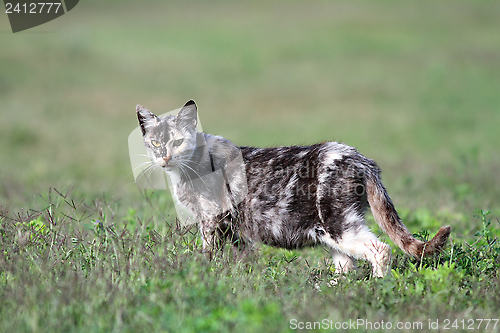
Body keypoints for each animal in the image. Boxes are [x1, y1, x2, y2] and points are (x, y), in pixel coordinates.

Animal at [136, 100, 450, 276]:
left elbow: (208, 254)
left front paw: (204, 276)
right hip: (329, 235)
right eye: (155, 143)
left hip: (340, 227)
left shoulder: (211, 220)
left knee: (381, 250)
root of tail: (360, 158)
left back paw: (377, 289)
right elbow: (240, 259)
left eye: (178, 142)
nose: (164, 157)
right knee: (347, 268)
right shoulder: (235, 229)